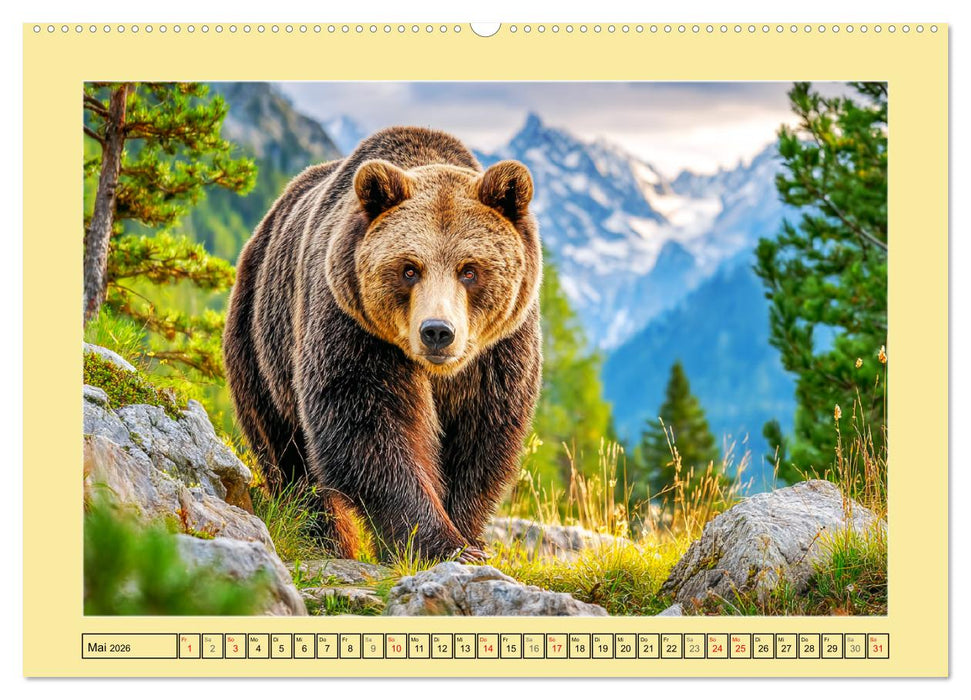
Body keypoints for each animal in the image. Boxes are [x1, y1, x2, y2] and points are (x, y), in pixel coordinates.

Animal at [223, 126, 543, 562]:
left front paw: (468, 536)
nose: (437, 331)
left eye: (470, 270)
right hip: (261, 338)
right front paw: (438, 543)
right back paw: (325, 536)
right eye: (409, 269)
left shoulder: (499, 353)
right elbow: (368, 428)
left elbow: (482, 440)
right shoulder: (354, 327)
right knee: (287, 452)